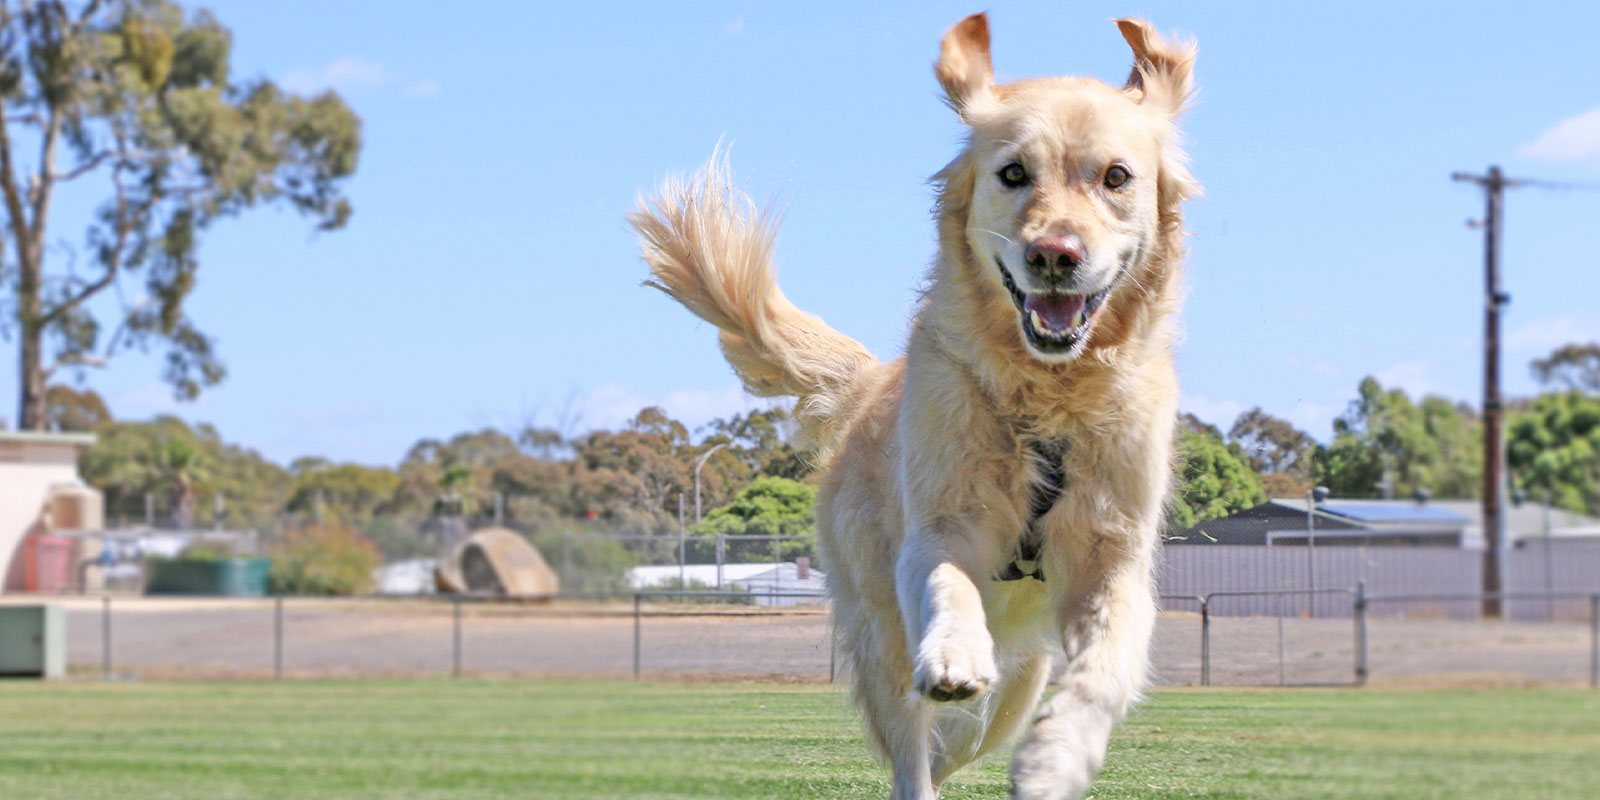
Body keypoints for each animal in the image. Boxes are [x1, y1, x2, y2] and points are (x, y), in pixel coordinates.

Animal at [630, 14, 1196, 800]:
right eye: (1013, 173)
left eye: (1116, 176)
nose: (1054, 254)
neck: (1047, 394)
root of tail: (870, 381)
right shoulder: (938, 526)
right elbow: (947, 583)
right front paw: (955, 656)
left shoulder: (1114, 558)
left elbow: (1104, 673)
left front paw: (1058, 756)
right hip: (879, 630)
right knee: (911, 747)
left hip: (1023, 677)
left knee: (974, 730)